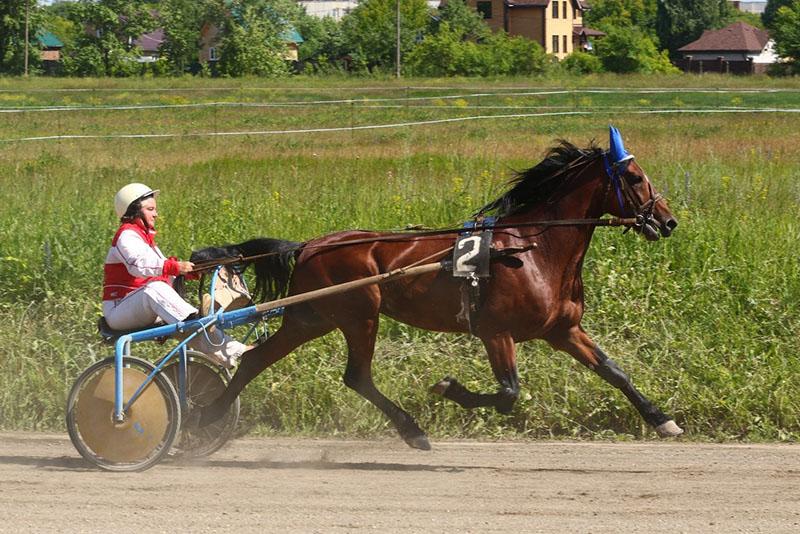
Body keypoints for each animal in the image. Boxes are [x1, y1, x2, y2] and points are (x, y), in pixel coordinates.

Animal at [192, 132, 680, 450]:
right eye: (635, 177)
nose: (669, 221)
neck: (532, 247)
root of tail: (310, 245)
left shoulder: (563, 331)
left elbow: (615, 372)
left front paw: (663, 421)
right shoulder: (496, 332)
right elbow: (508, 393)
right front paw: (449, 388)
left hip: (311, 318)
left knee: (256, 359)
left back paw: (209, 414)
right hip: (358, 315)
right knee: (356, 376)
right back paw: (413, 430)